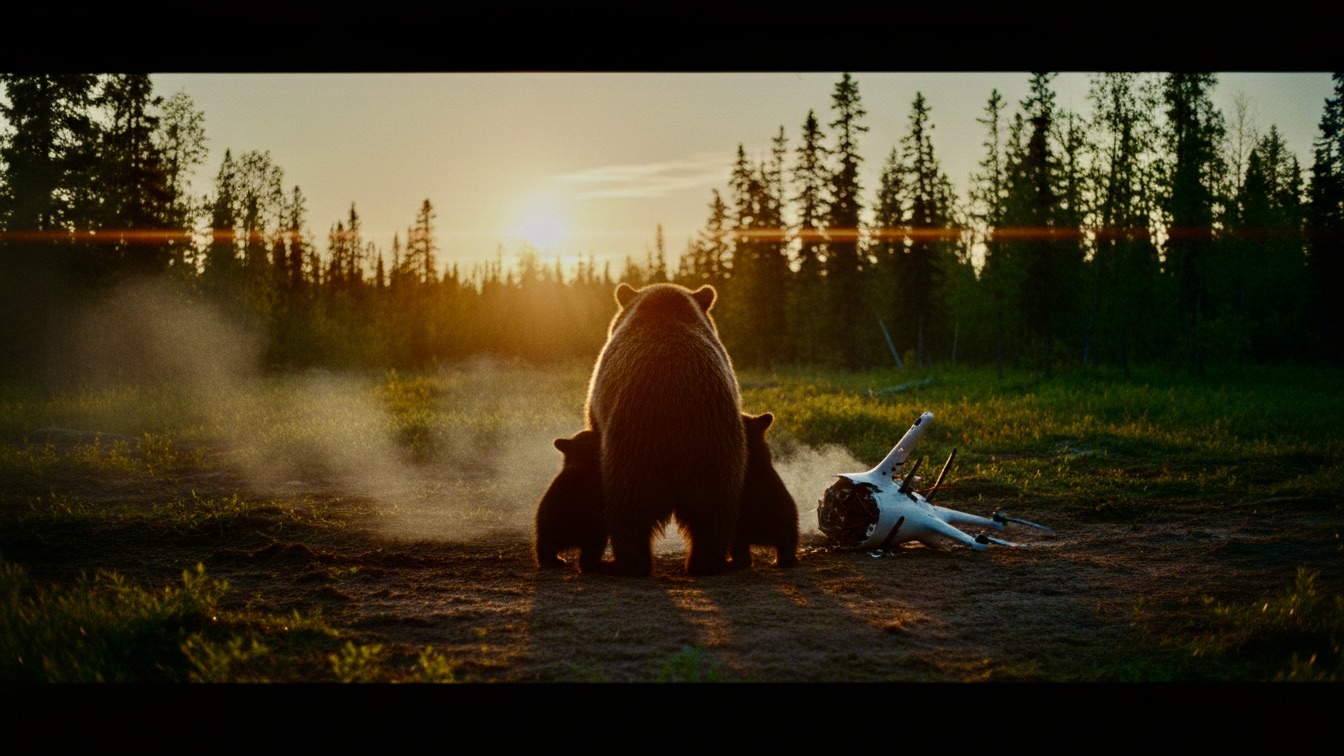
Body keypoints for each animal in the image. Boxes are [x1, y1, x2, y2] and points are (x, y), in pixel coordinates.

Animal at [585, 282, 747, 577]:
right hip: (717, 448)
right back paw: (707, 562)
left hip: (634, 444)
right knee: (713, 512)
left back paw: (623, 563)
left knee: (629, 510)